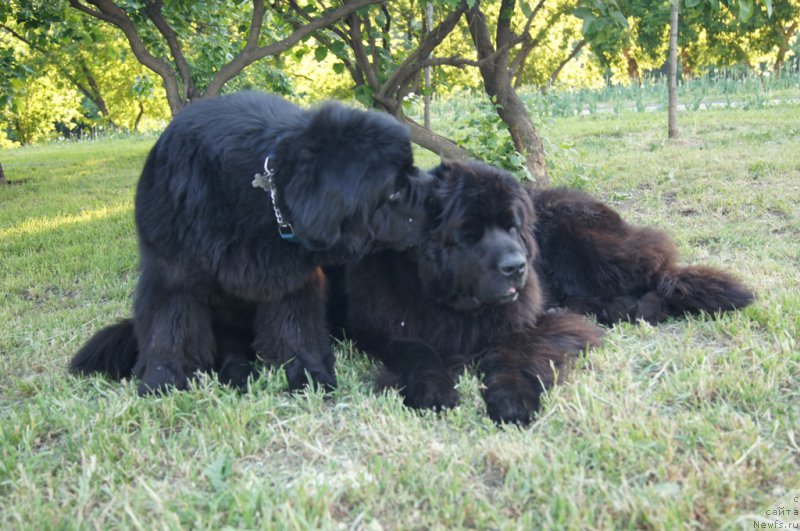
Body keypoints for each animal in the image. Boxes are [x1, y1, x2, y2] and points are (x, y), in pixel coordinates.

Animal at [69, 91, 432, 394]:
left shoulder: (290, 279)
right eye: (394, 191)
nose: (436, 197)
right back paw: (237, 373)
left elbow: (294, 328)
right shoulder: (171, 271)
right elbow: (170, 327)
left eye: (411, 170)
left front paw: (308, 375)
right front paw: (163, 381)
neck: (260, 195)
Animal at [340, 160, 752, 426]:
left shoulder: (529, 323)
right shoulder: (386, 330)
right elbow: (416, 352)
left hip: (586, 241)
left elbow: (516, 353)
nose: (517, 265)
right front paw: (433, 389)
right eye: (468, 233)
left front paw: (511, 400)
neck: (457, 305)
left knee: (659, 269)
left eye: (512, 226)